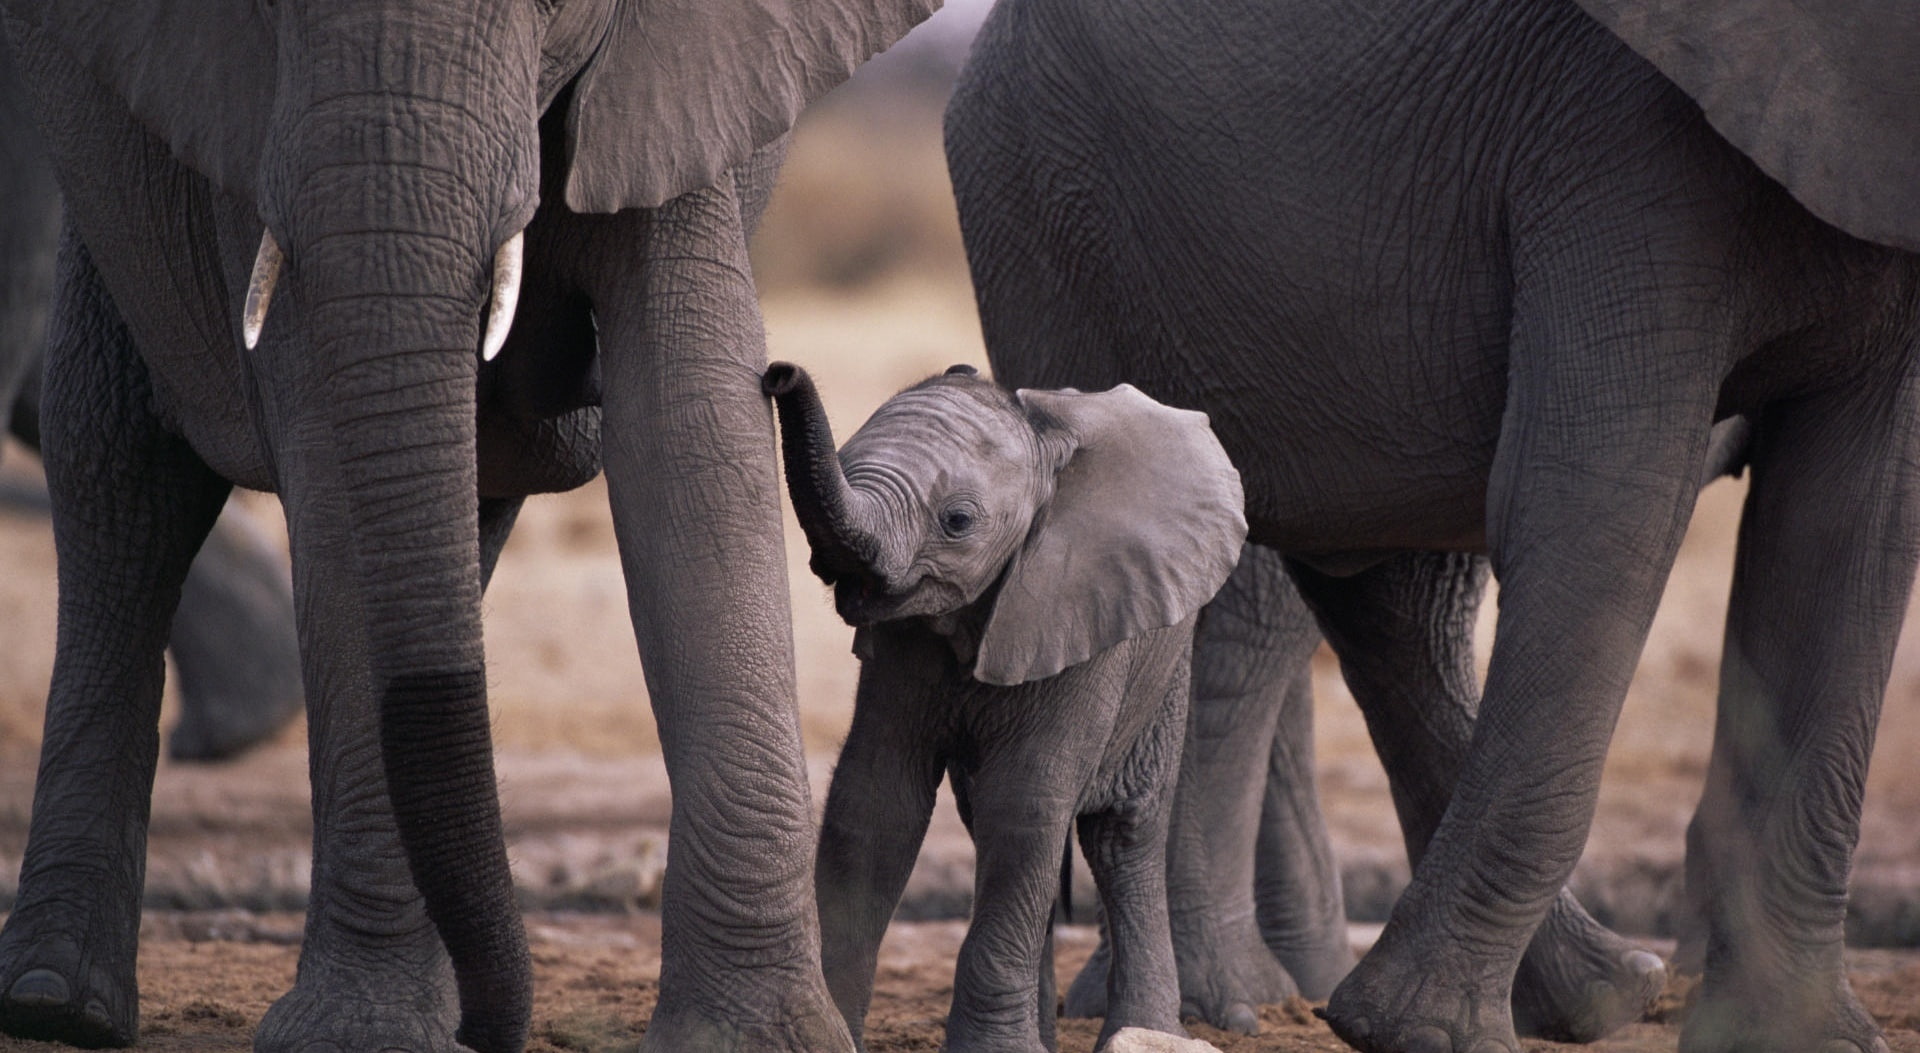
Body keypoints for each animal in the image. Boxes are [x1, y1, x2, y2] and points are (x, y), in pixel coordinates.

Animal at [764, 361, 1246, 1053]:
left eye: (958, 521)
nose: (778, 374)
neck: (1042, 442)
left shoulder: (1079, 609)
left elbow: (1025, 804)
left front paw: (993, 1050)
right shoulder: (902, 644)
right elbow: (875, 802)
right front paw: (836, 1031)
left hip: (1165, 659)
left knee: (1120, 834)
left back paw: (1145, 1032)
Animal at [947, 0, 1920, 1051]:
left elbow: (1851, 534)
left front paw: (1794, 1033)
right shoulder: (1617, 143)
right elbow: (1600, 503)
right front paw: (1415, 1033)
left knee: (1382, 592)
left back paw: (1602, 992)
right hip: (1049, 212)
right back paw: (1229, 1007)